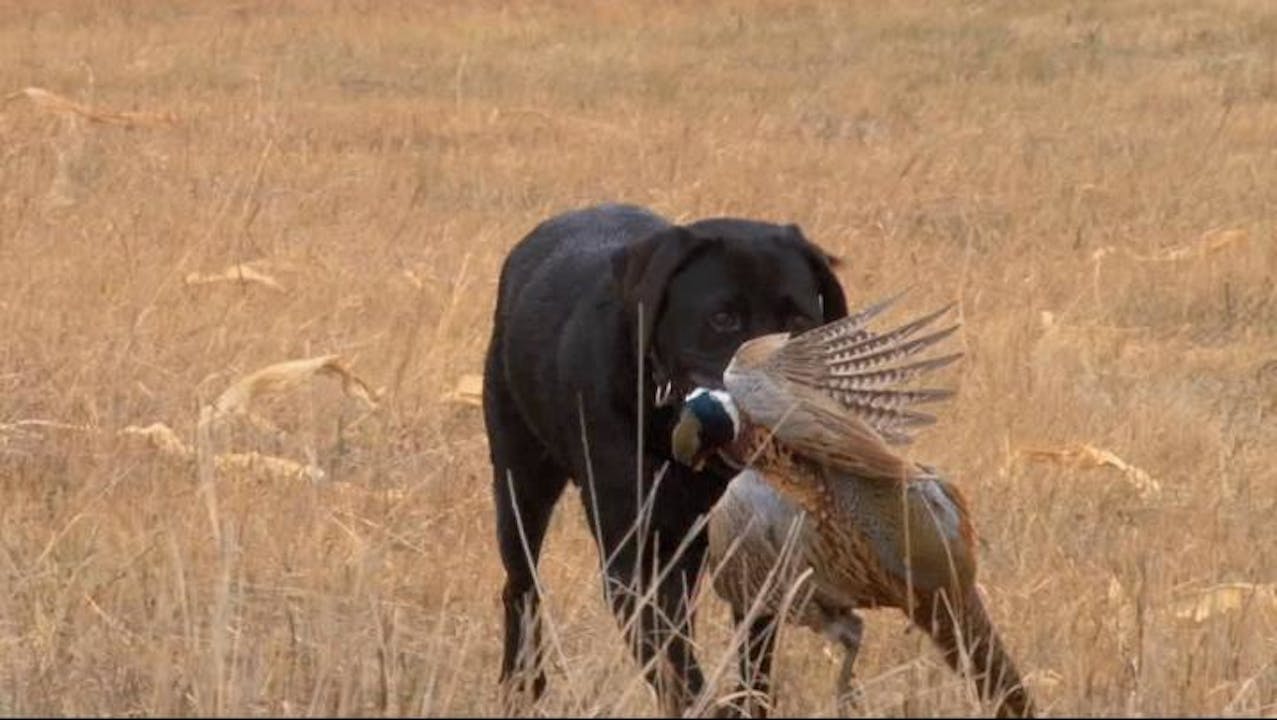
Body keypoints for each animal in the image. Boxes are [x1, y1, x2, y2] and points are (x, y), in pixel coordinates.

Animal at [480, 202, 847, 714]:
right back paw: (521, 686)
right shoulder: (637, 564)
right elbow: (681, 673)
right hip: (521, 485)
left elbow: (753, 664)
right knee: (521, 588)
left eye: (797, 319)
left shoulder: (757, 554)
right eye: (723, 318)